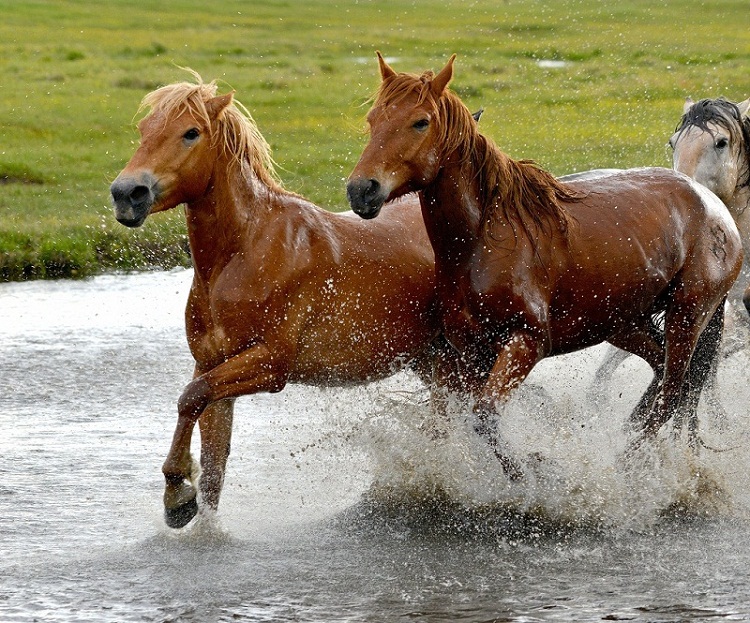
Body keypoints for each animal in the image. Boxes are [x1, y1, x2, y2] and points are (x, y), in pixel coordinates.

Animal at [111, 74, 452, 532]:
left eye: (190, 132)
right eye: (144, 130)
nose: (126, 193)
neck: (243, 252)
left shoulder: (269, 363)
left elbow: (190, 398)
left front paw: (178, 491)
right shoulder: (212, 363)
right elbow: (212, 459)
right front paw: (186, 506)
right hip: (431, 363)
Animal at [348, 54, 748, 472]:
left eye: (420, 121)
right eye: (372, 119)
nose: (361, 190)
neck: (484, 239)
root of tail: (711, 202)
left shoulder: (526, 343)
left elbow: (484, 416)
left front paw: (536, 472)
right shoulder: (469, 355)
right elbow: (456, 419)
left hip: (687, 315)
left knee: (671, 394)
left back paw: (624, 469)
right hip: (624, 323)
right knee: (665, 379)